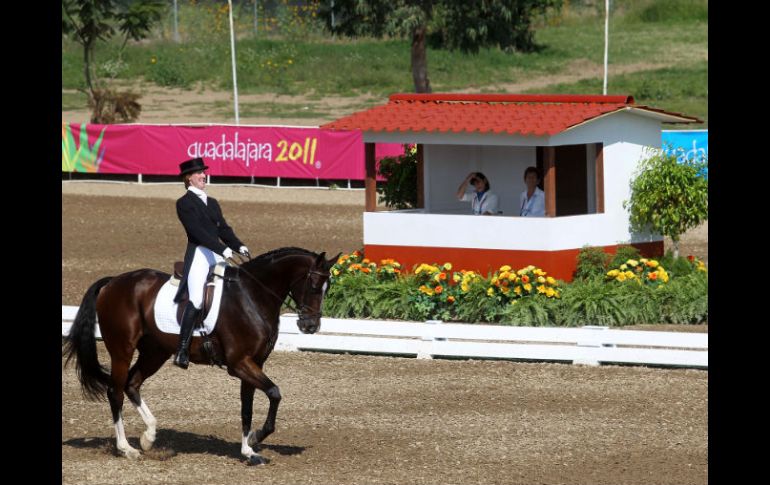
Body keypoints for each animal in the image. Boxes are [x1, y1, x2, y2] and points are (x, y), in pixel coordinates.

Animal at [60, 248, 336, 464]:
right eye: (313, 285)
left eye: (328, 288)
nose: (310, 326)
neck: (252, 296)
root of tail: (113, 282)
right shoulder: (239, 364)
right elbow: (274, 393)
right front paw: (257, 437)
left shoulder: (253, 363)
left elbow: (247, 407)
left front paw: (249, 450)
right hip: (122, 350)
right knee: (115, 391)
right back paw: (126, 448)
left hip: (155, 352)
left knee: (132, 384)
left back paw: (148, 437)